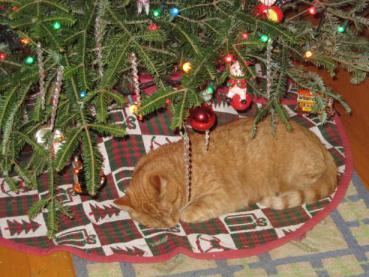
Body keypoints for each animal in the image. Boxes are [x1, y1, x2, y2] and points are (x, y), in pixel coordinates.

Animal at [113, 116, 336, 226]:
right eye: (156, 222)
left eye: (170, 209)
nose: (172, 224)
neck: (183, 170)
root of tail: (320, 144)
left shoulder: (222, 195)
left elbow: (190, 211)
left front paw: (186, 214)